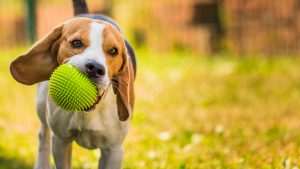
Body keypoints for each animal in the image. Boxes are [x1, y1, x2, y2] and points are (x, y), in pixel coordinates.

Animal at [9, 0, 136, 168]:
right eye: (76, 43)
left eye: (113, 51)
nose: (95, 68)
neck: (86, 112)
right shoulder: (60, 141)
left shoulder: (113, 150)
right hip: (42, 104)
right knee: (43, 136)